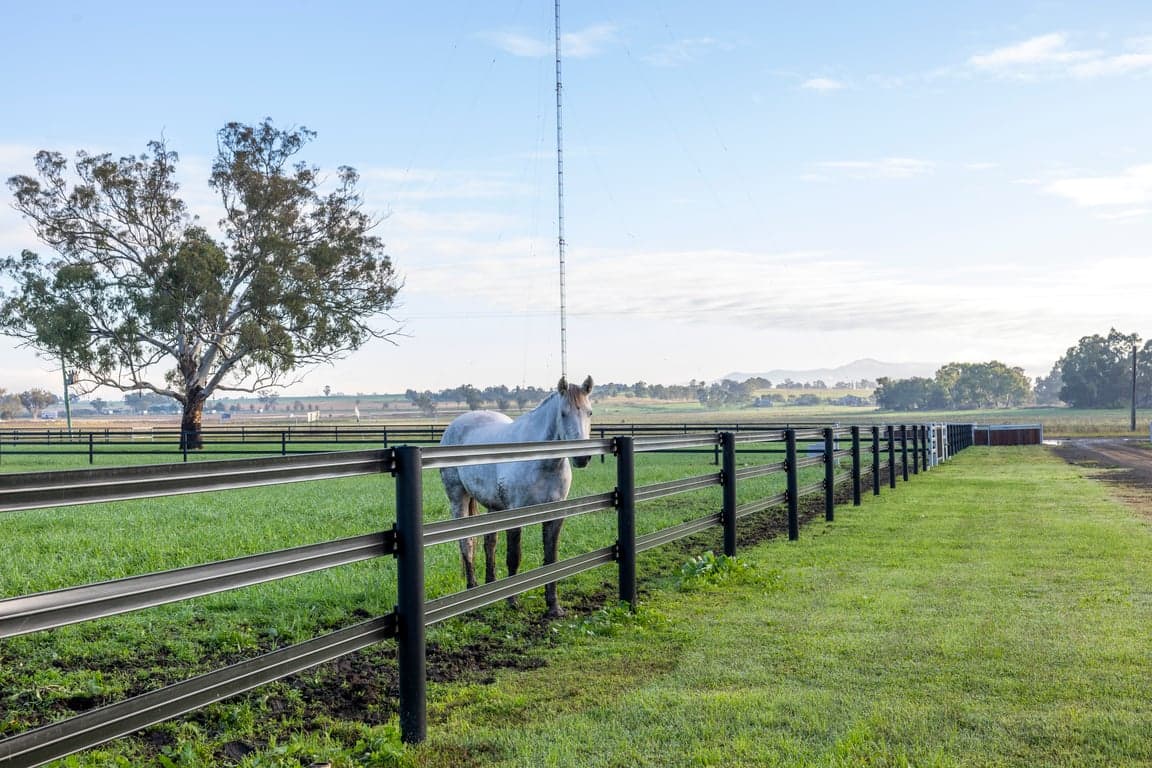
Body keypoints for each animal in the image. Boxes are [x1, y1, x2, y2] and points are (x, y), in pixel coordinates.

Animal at [439, 375, 594, 618]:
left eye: (590, 412)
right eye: (563, 413)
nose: (582, 457)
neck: (541, 462)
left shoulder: (555, 515)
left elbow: (551, 559)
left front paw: (554, 607)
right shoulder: (515, 513)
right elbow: (514, 556)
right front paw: (512, 601)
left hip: (493, 506)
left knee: (489, 543)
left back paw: (490, 588)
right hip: (458, 497)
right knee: (467, 543)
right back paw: (472, 590)